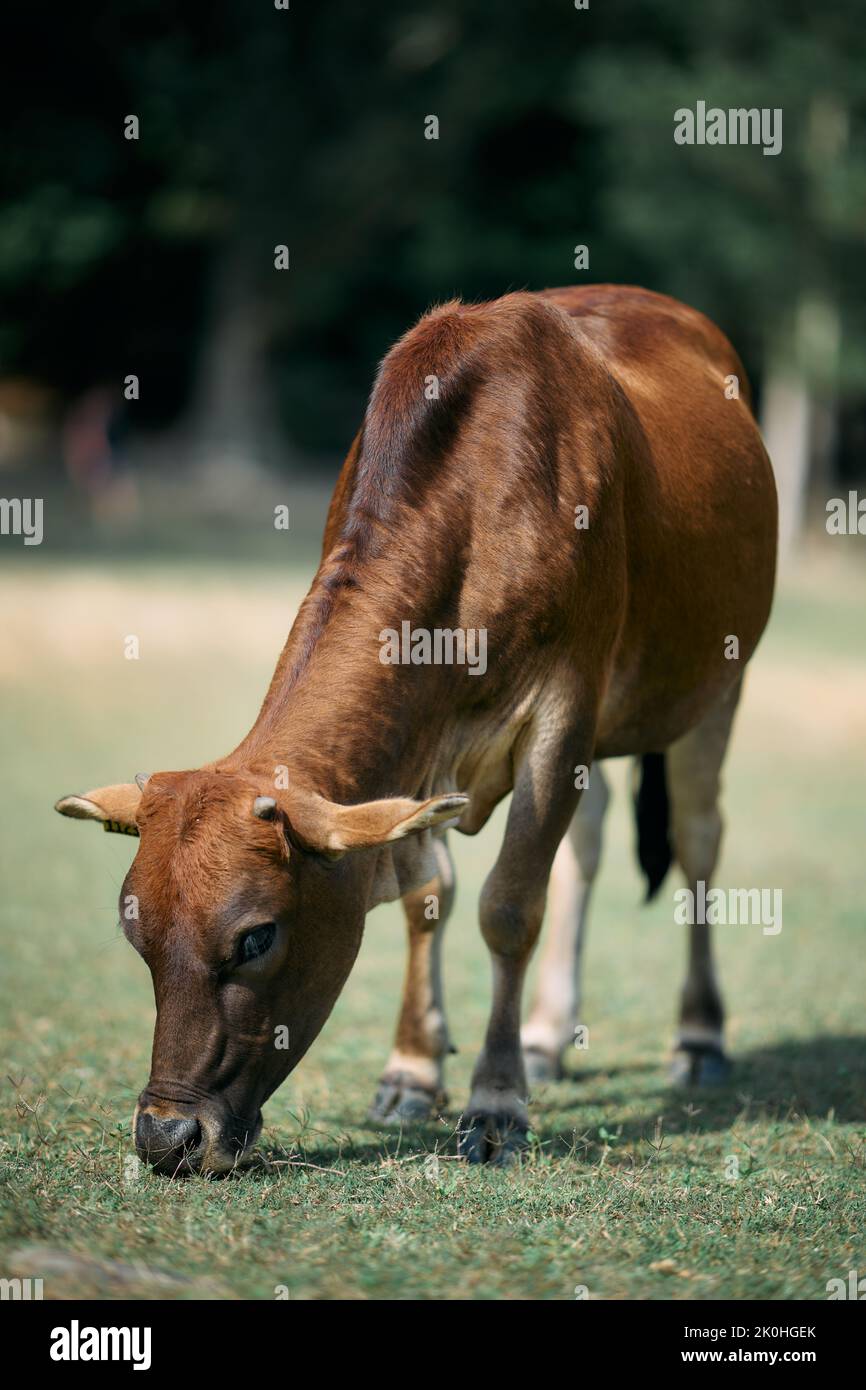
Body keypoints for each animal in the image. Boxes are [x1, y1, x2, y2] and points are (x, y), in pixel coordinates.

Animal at [55, 285, 777, 1173]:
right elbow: (427, 896)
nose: (166, 1136)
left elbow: (509, 906)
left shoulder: (564, 708)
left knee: (697, 836)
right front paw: (412, 1070)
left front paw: (496, 1105)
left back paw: (698, 1038)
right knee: (591, 841)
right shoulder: (424, 755)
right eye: (139, 937)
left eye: (256, 938)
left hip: (718, 685)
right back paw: (546, 1035)